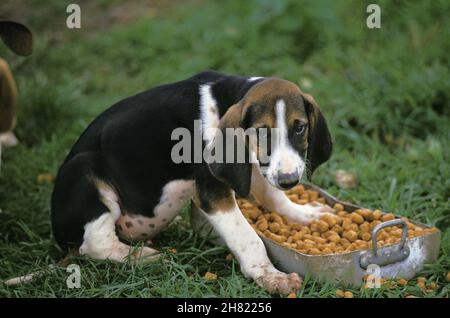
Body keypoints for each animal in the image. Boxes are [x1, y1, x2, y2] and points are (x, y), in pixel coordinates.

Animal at [51, 70, 332, 294]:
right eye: (262, 131)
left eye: (300, 128)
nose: (289, 180)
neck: (224, 100)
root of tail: (59, 236)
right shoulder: (213, 191)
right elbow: (248, 236)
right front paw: (270, 275)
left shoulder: (254, 162)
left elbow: (274, 197)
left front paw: (305, 215)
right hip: (83, 170)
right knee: (94, 245)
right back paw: (143, 257)